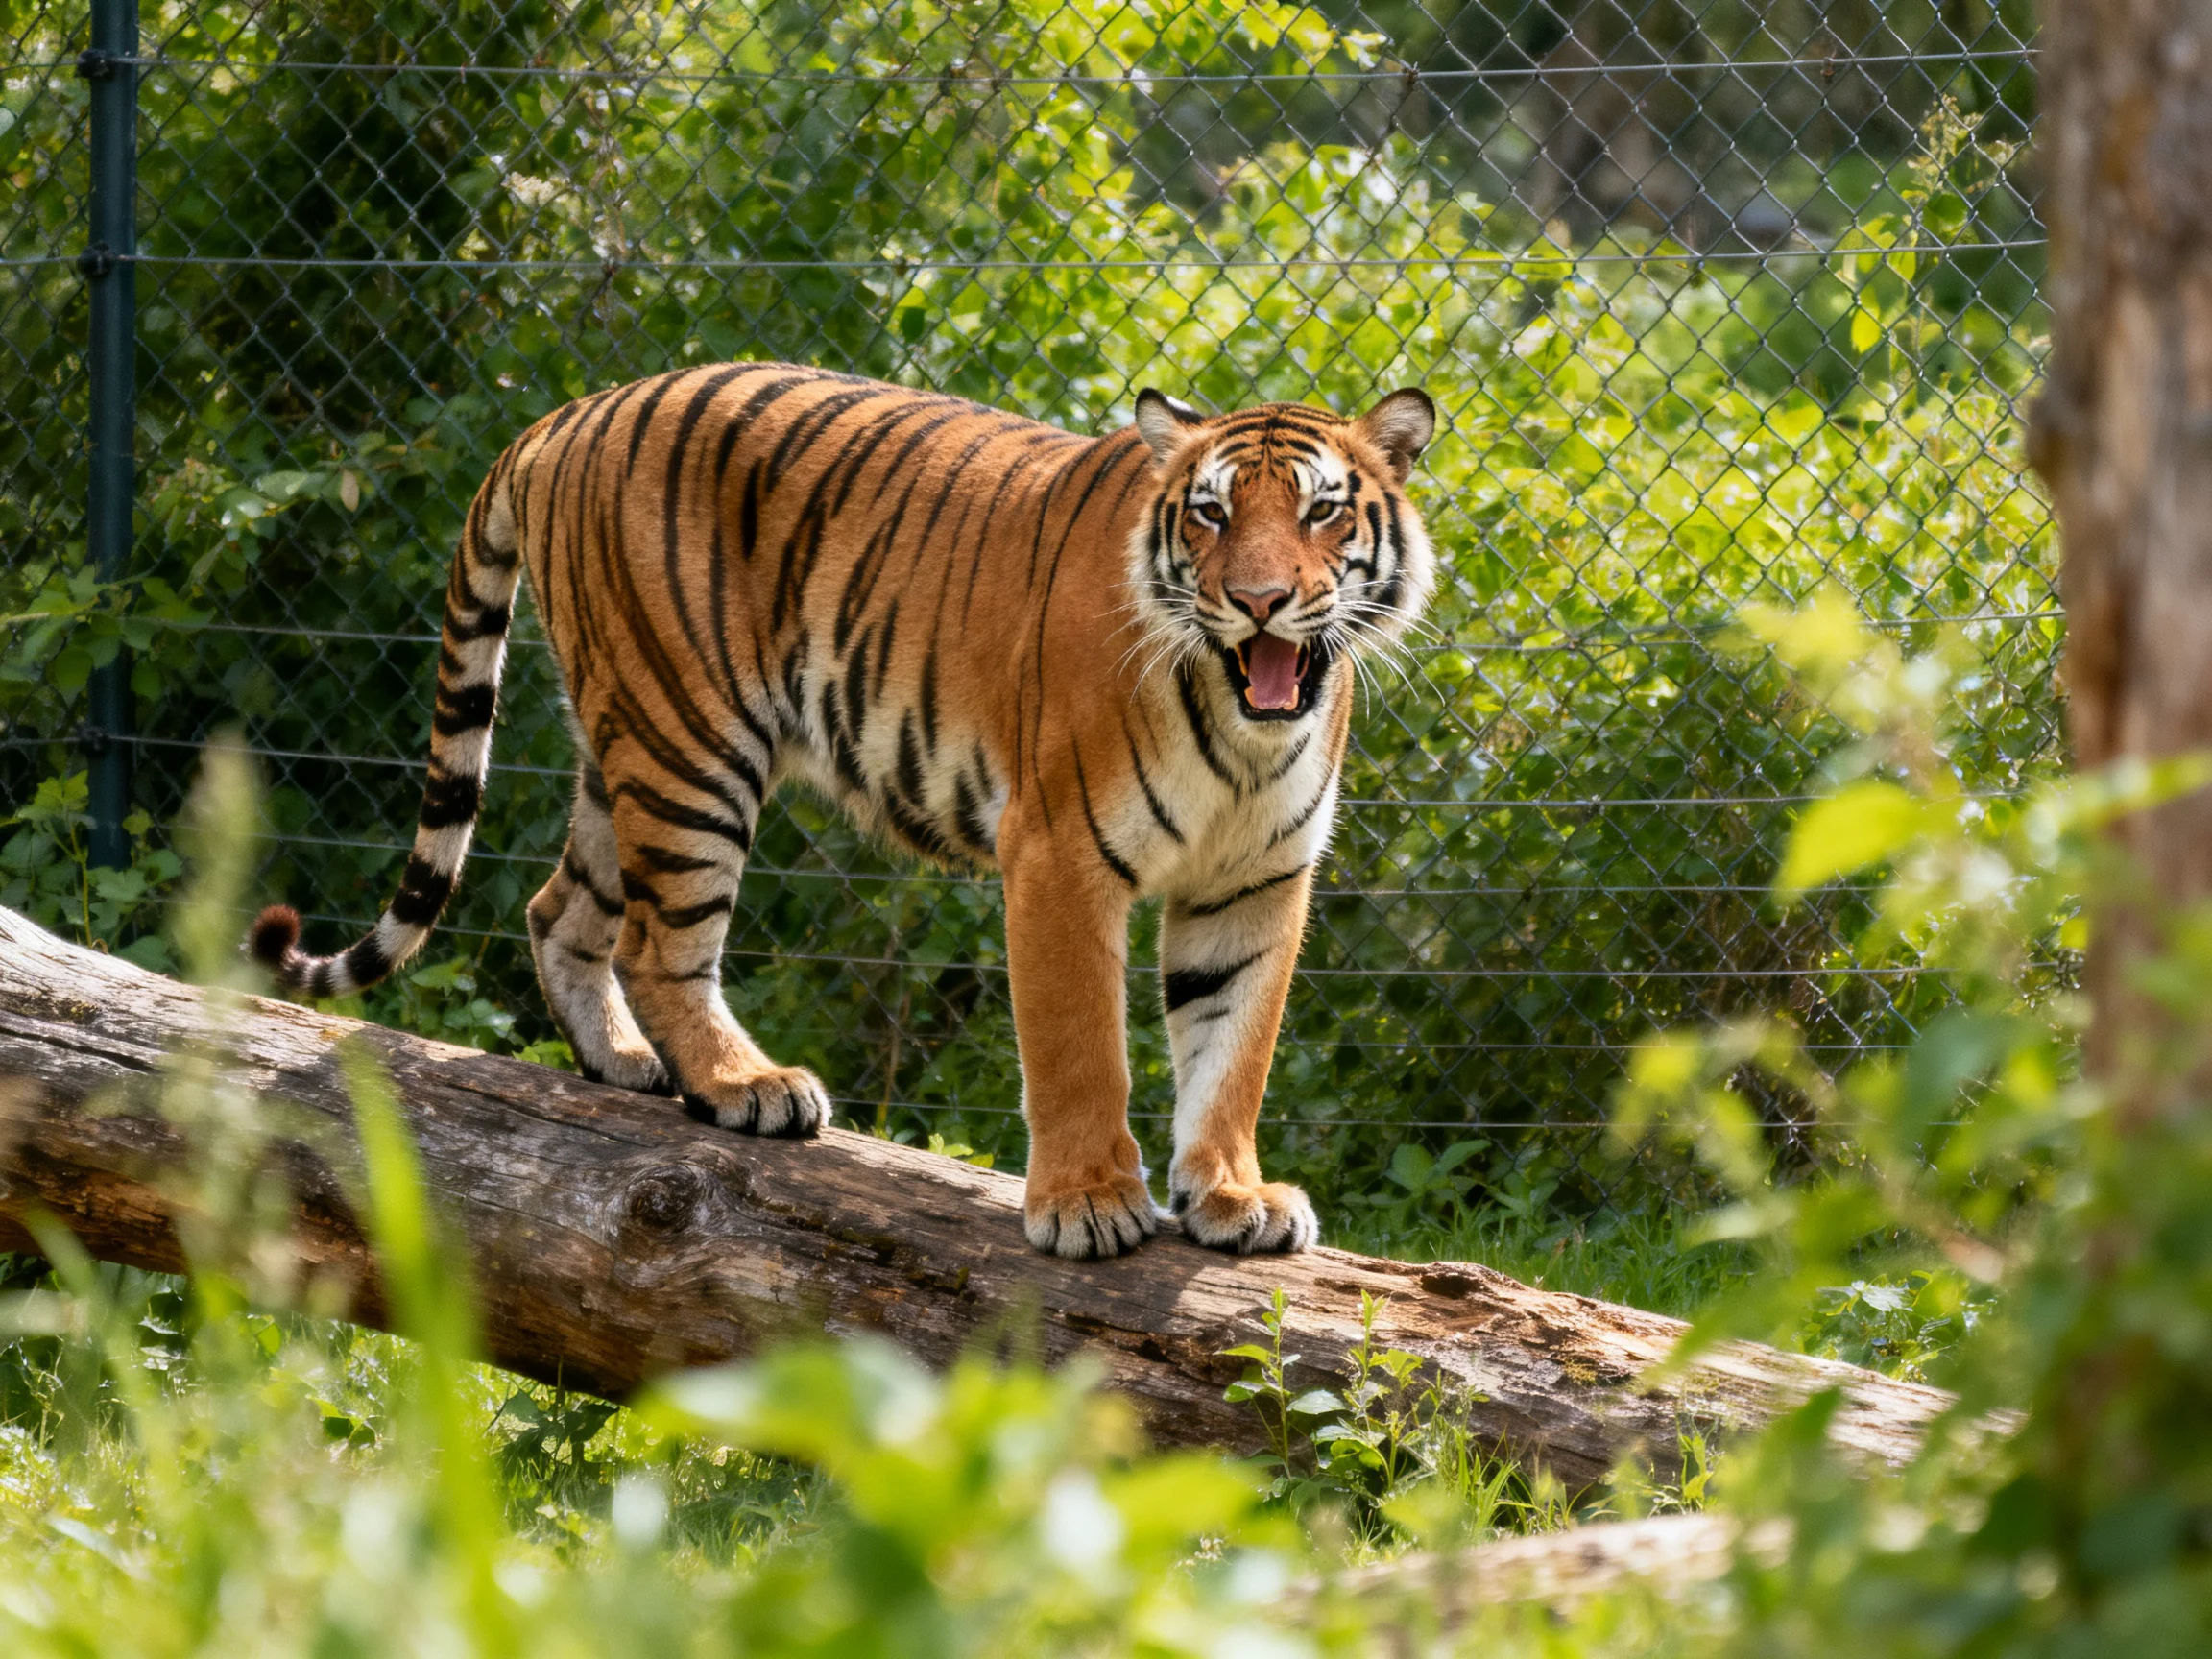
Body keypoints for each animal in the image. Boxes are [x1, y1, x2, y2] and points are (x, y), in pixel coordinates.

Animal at [250, 362, 1437, 1259]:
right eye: (1210, 513)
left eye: (1323, 510)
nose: (1259, 601)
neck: (1246, 733)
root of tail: (565, 414)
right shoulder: (1059, 855)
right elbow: (1082, 1048)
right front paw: (1092, 1204)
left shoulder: (1255, 883)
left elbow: (1233, 1053)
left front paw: (1232, 1198)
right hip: (690, 744)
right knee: (657, 942)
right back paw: (743, 1083)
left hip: (620, 745)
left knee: (559, 911)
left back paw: (623, 1064)